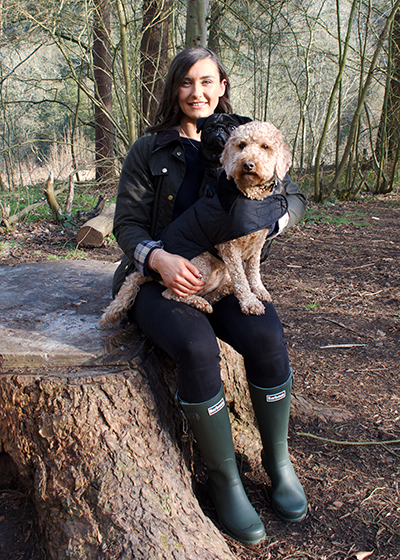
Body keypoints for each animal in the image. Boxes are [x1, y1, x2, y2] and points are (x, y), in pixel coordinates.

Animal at [99, 120, 294, 326]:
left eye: (265, 146)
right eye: (241, 145)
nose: (247, 164)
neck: (249, 195)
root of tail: (147, 271)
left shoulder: (256, 246)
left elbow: (253, 272)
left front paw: (259, 291)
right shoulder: (230, 248)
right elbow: (241, 278)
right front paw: (249, 302)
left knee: (211, 292)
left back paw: (222, 292)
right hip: (199, 268)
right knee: (170, 294)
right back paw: (202, 303)